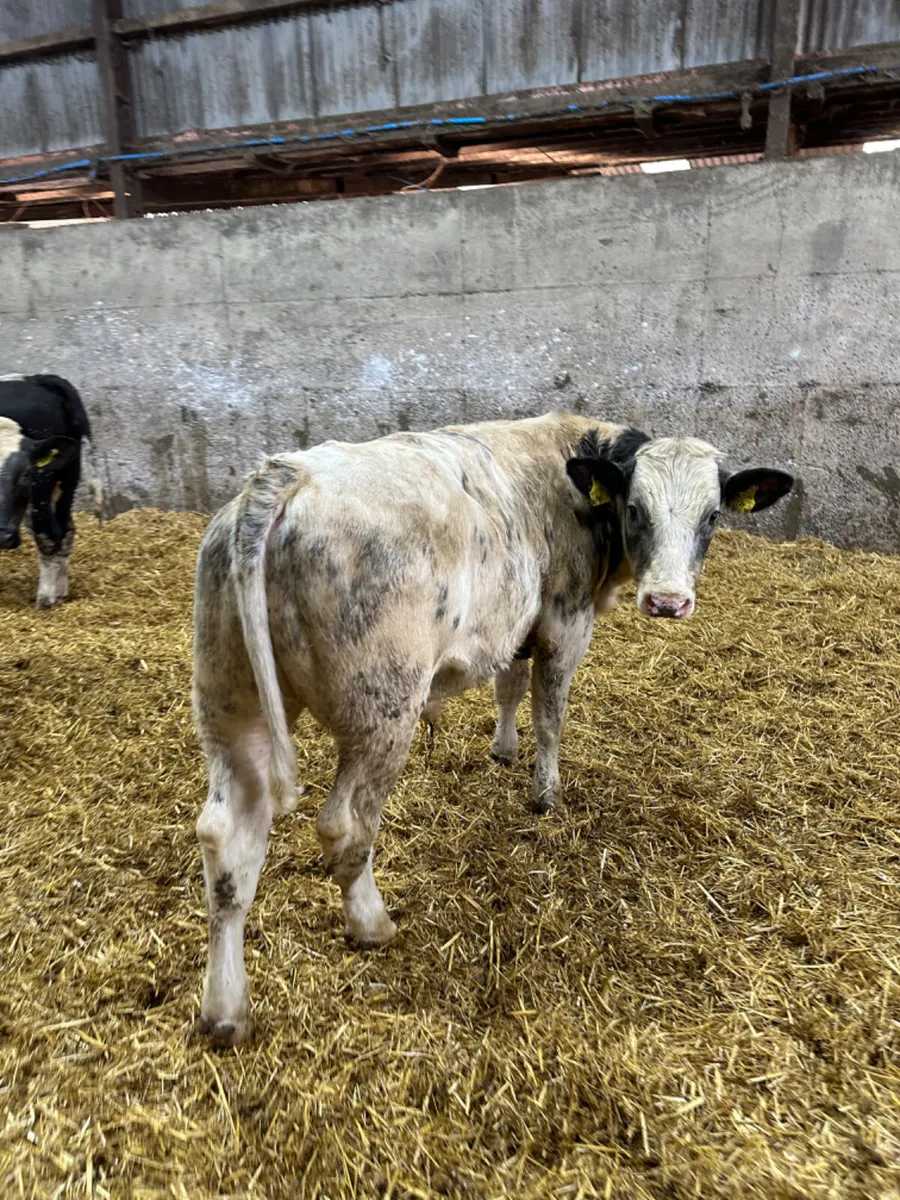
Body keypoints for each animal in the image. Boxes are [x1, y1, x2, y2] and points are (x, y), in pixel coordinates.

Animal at [0, 374, 102, 609]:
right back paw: (61, 594)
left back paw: (45, 600)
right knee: (66, 531)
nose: (3, 535)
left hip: (42, 488)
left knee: (48, 535)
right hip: (67, 479)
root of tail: (35, 379)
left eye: (25, 474)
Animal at [192, 412, 793, 1045]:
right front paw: (545, 793)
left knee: (228, 843)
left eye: (712, 516)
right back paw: (372, 924)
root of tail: (286, 474)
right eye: (635, 509)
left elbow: (510, 685)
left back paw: (225, 1010)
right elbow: (549, 713)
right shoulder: (564, 621)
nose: (668, 601)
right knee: (344, 825)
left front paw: (503, 750)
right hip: (383, 712)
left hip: (233, 704)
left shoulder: (514, 625)